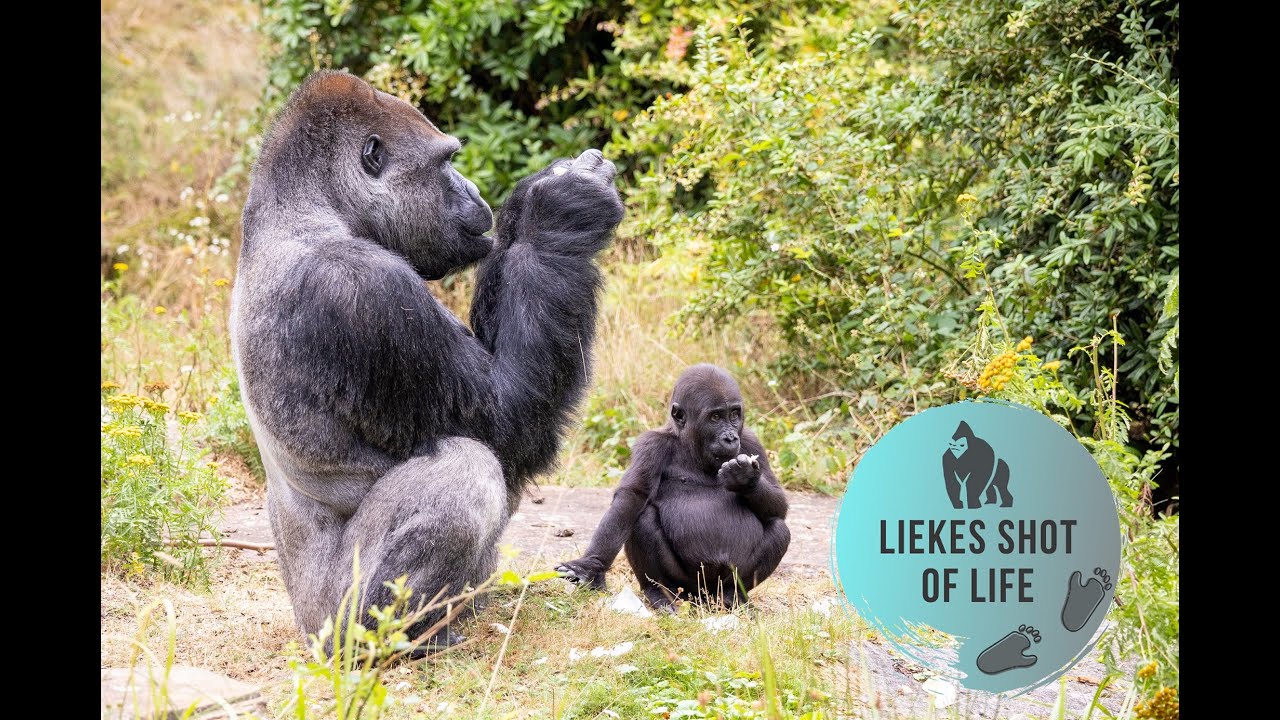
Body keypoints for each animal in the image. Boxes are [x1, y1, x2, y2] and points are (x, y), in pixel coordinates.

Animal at [229, 70, 623, 650]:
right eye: (446, 162)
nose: (474, 190)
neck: (308, 211)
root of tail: (303, 623)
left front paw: (529, 201)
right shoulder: (365, 290)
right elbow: (509, 420)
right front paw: (561, 210)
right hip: (329, 620)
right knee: (466, 469)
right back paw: (396, 636)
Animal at [556, 364, 790, 610]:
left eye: (734, 414)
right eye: (715, 417)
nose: (730, 438)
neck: (688, 442)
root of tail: (703, 596)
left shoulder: (752, 441)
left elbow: (779, 504)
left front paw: (745, 478)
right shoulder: (651, 445)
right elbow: (632, 498)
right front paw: (591, 566)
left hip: (714, 587)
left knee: (779, 529)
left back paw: (732, 595)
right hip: (686, 586)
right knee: (644, 519)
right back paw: (659, 593)